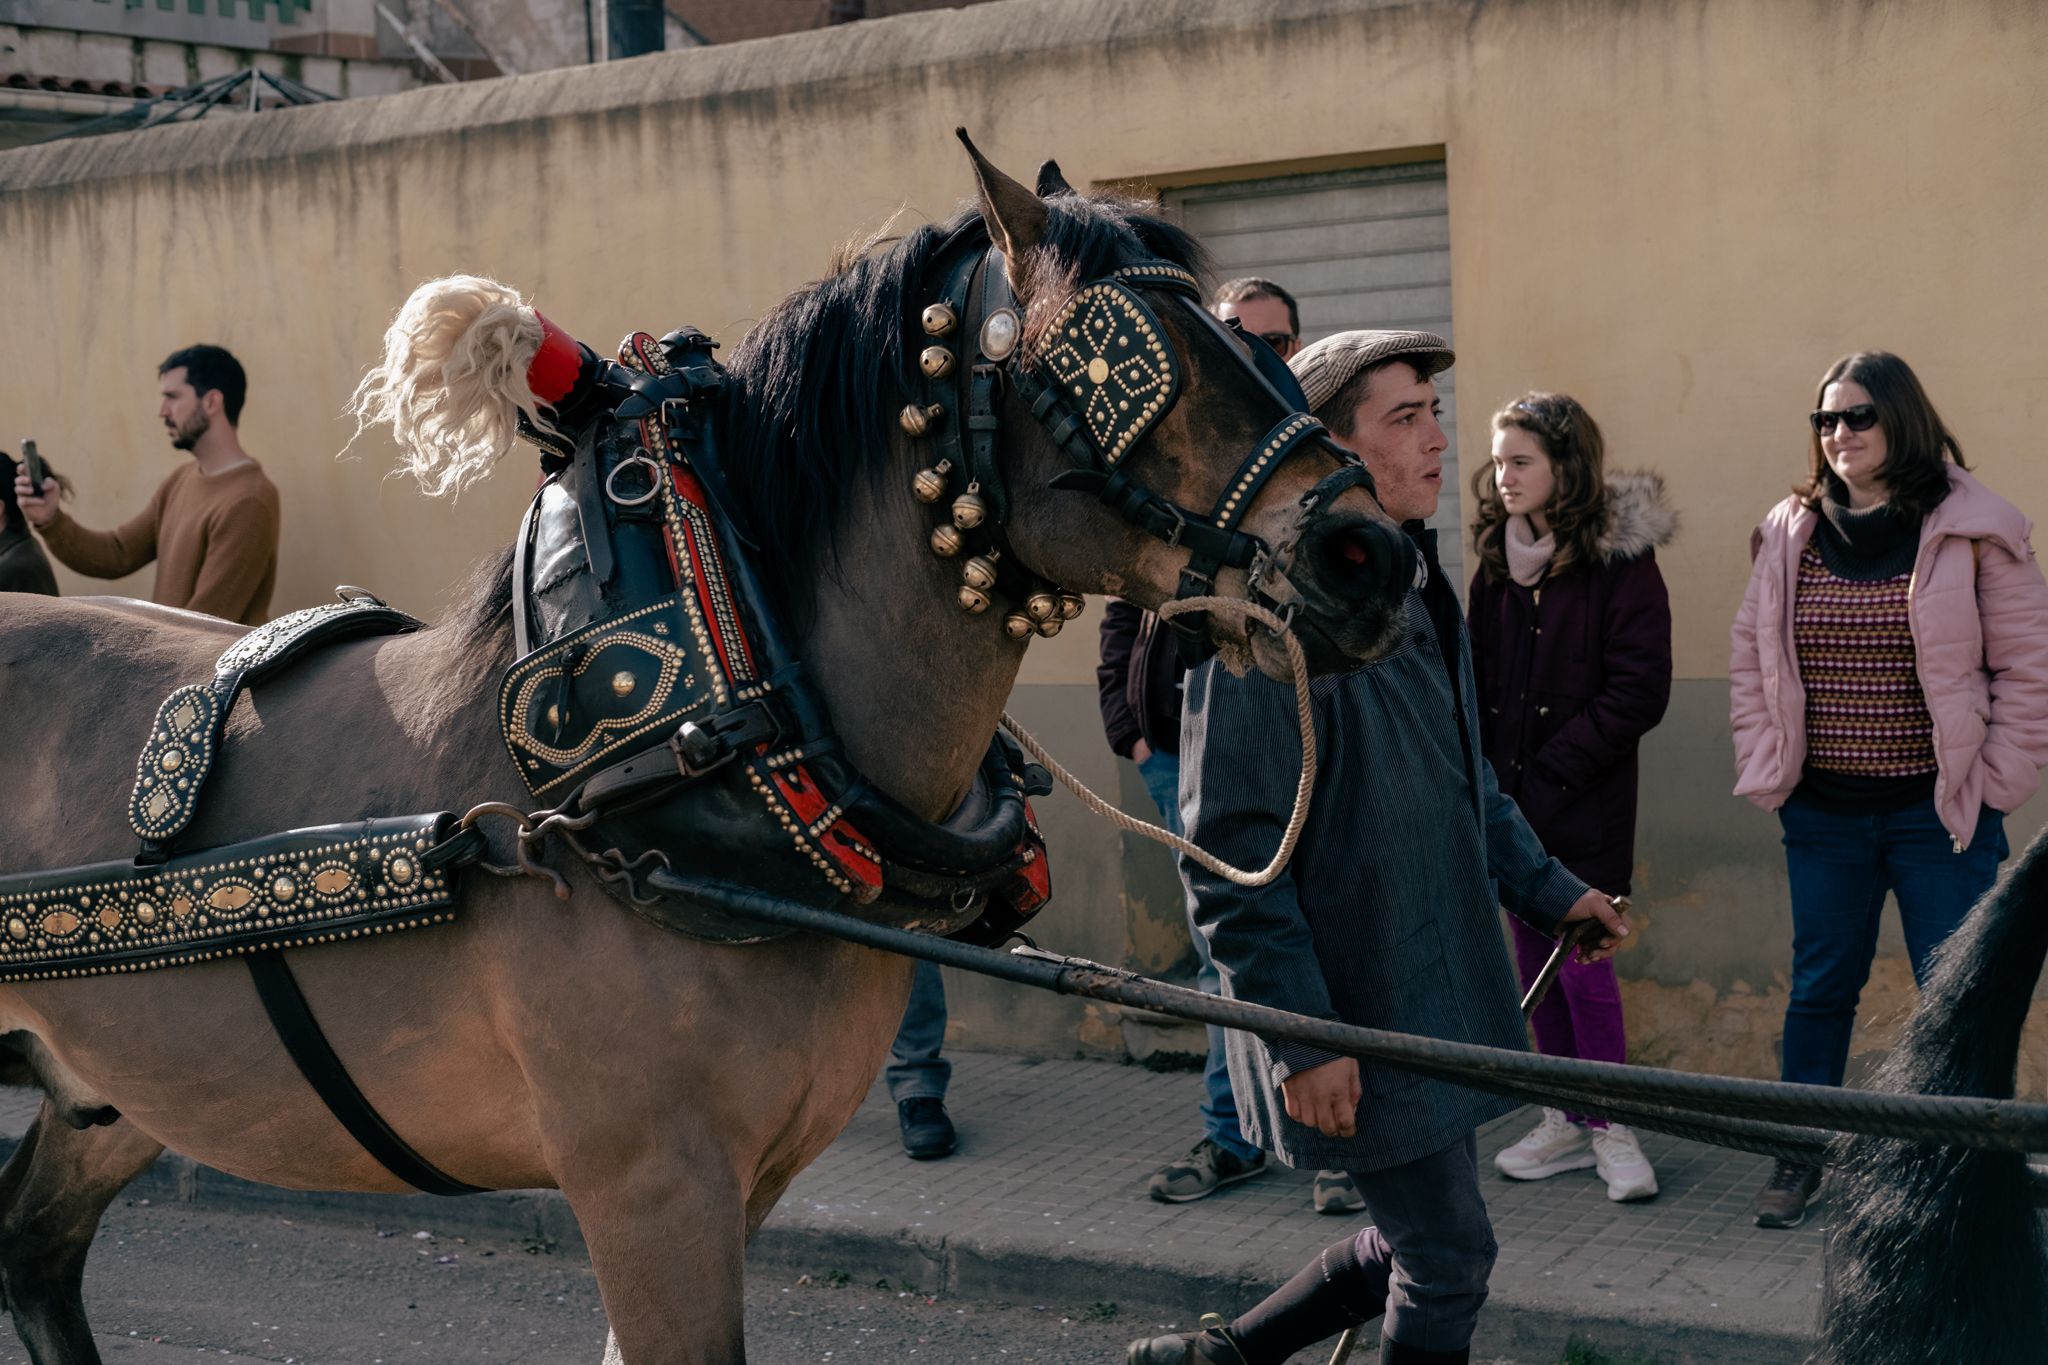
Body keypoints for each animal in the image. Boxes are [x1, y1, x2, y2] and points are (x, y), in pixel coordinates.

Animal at [0, 133, 1417, 1358]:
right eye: (1133, 365)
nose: (1373, 555)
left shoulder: (748, 1181)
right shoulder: (649, 1189)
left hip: (112, 1091)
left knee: (36, 1251)